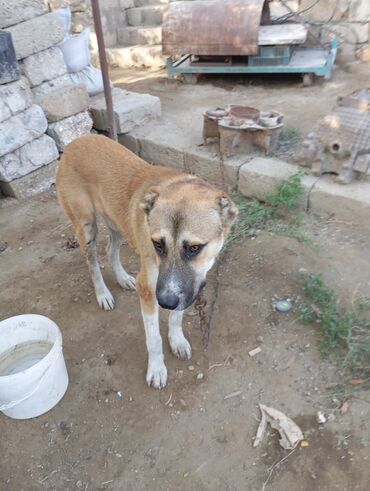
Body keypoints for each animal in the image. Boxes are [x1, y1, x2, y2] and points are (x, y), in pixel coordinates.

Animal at [56, 135, 238, 388]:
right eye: (158, 244)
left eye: (194, 248)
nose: (165, 302)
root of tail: (76, 141)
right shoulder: (148, 287)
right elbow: (153, 338)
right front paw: (157, 369)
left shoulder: (184, 289)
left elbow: (176, 317)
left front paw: (177, 340)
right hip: (86, 227)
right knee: (92, 264)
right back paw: (103, 294)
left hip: (117, 223)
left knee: (110, 250)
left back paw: (123, 278)